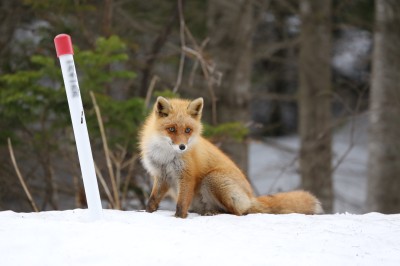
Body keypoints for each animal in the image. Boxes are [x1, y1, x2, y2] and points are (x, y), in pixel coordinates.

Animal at [139, 96, 324, 217]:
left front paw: (178, 218)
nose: (182, 147)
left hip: (213, 179)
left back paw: (216, 213)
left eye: (187, 130)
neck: (165, 155)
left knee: (240, 212)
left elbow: (181, 204)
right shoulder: (162, 175)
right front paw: (146, 213)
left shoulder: (186, 176)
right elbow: (152, 200)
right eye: (171, 129)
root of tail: (251, 197)